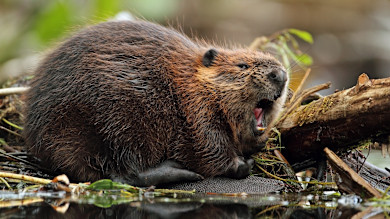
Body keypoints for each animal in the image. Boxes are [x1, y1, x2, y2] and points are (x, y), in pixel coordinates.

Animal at [23, 20, 286, 186]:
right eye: (242, 65)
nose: (281, 74)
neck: (192, 81)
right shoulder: (197, 110)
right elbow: (209, 146)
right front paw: (242, 164)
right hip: (119, 119)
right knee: (123, 173)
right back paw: (181, 171)